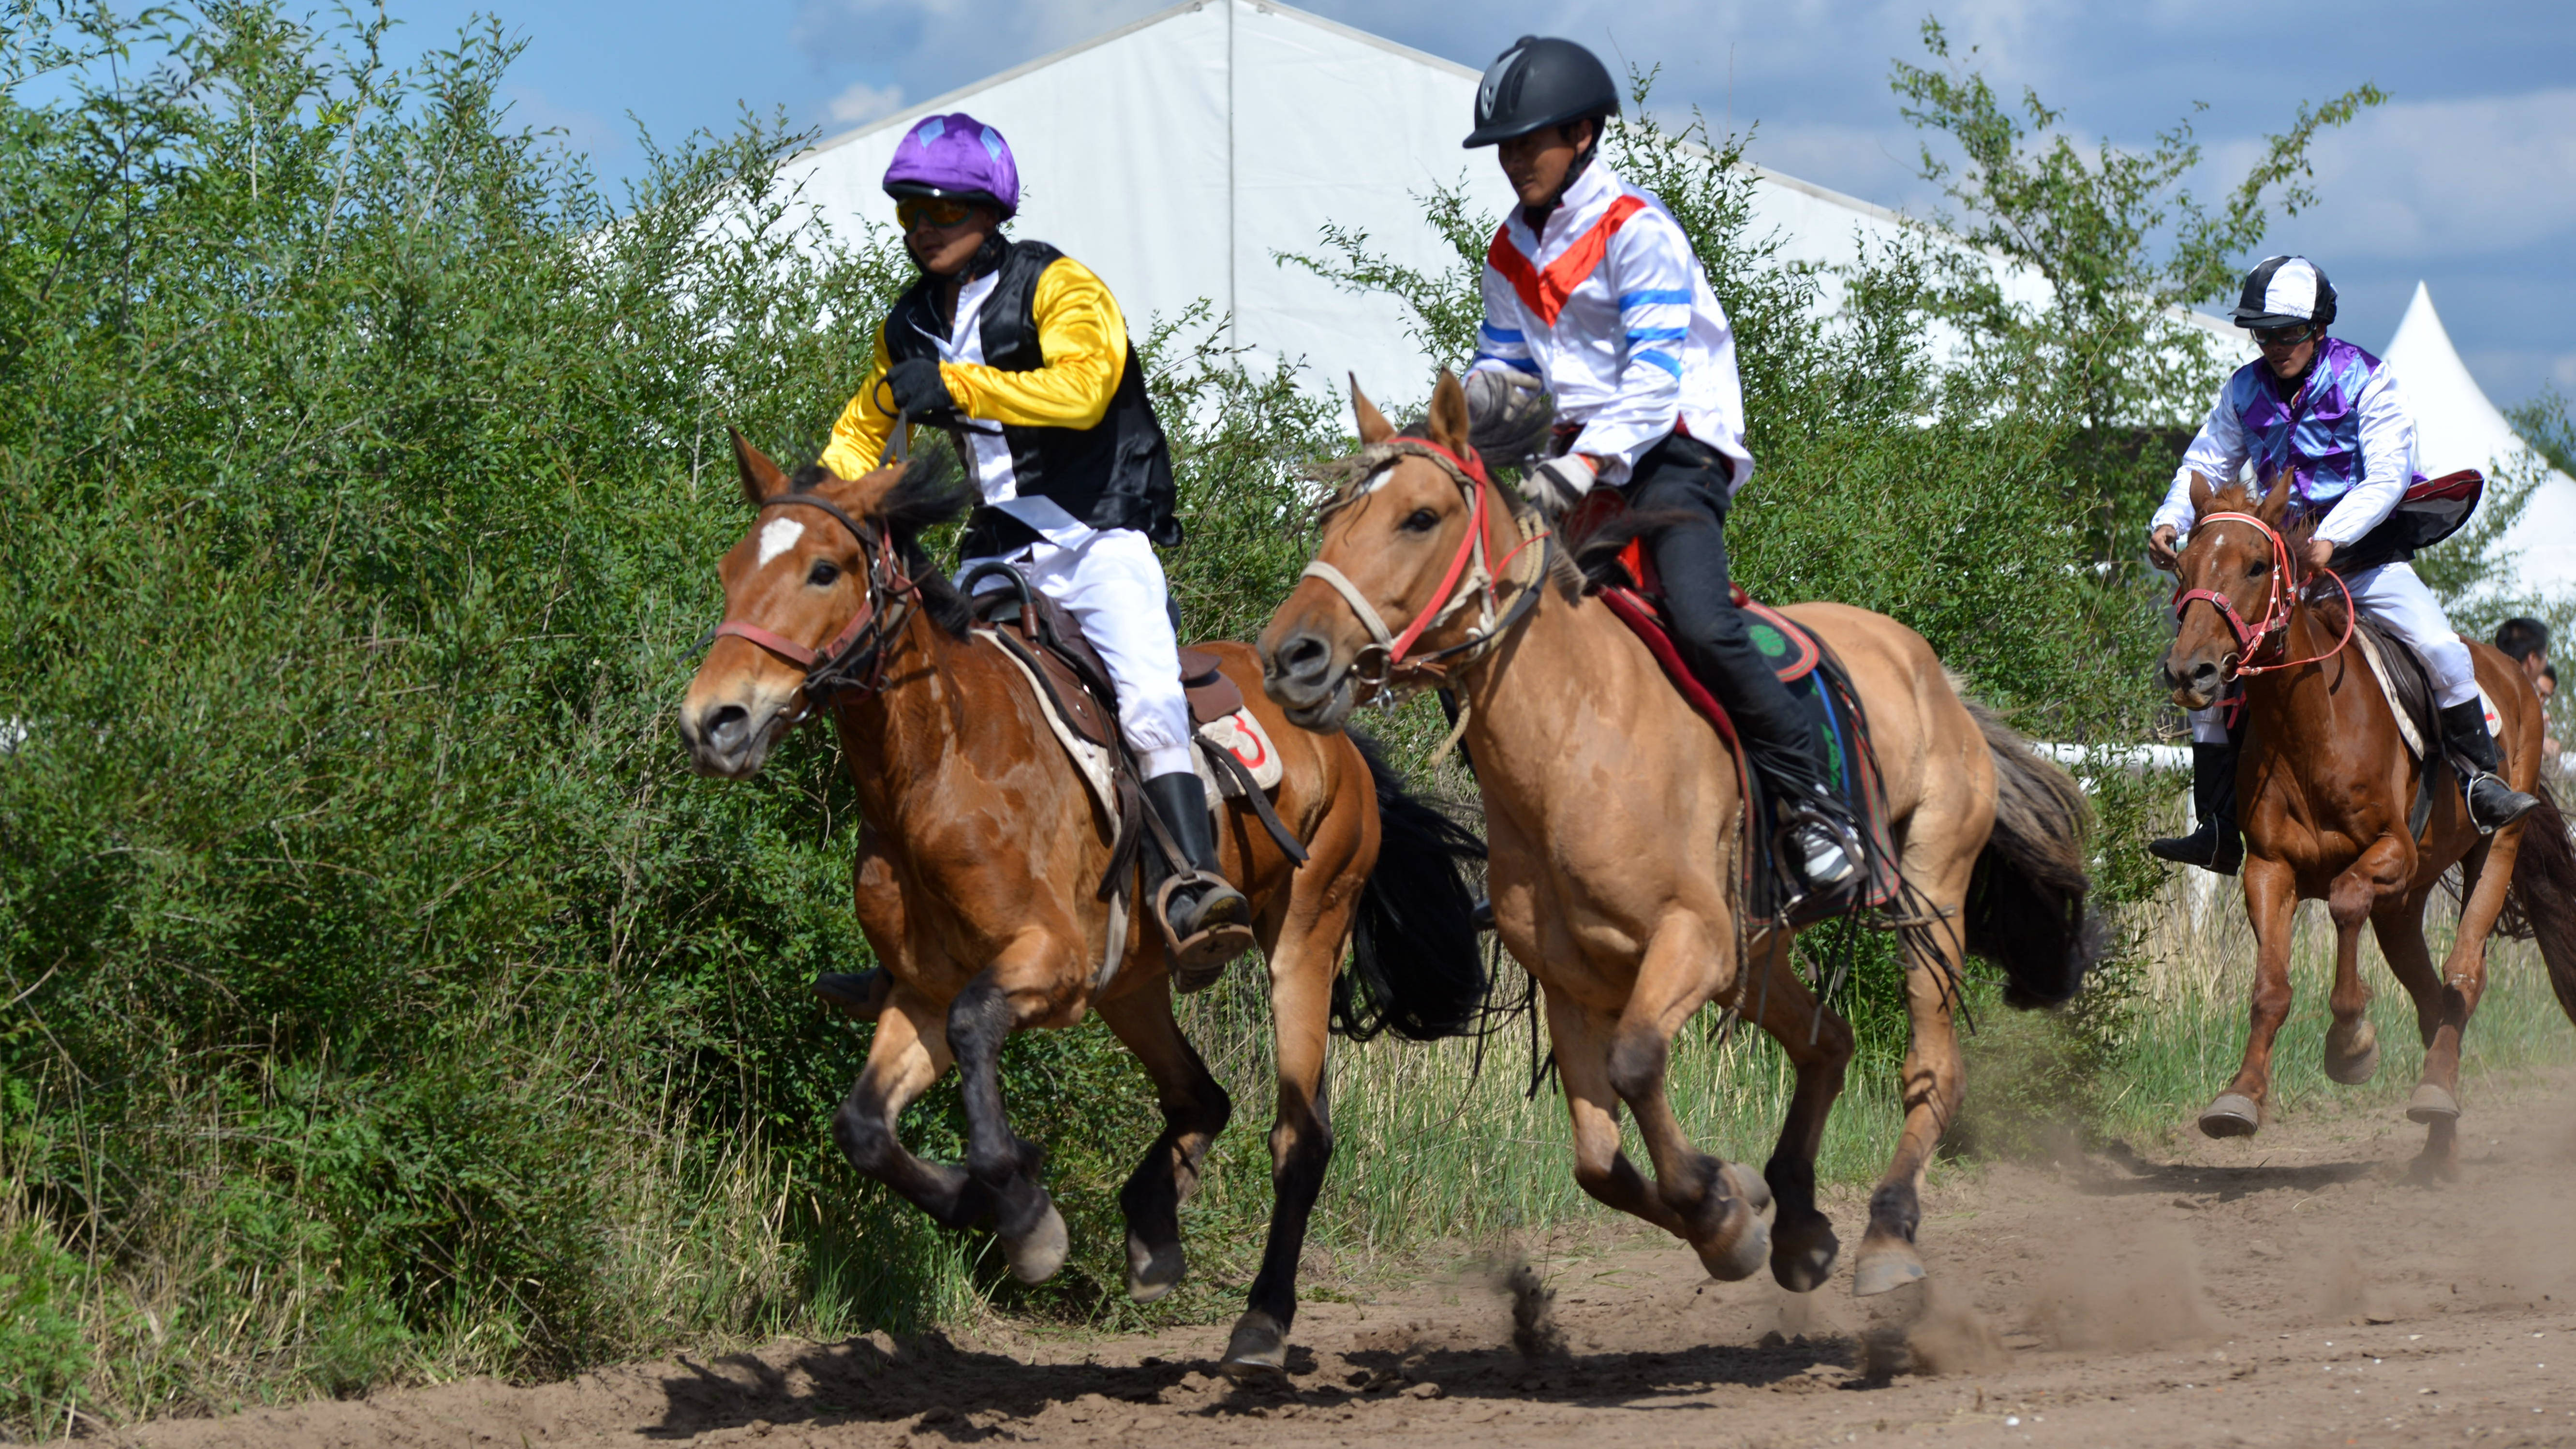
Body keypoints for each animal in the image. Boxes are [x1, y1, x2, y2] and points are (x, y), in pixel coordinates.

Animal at [680, 440, 1494, 1369]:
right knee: (1201, 1098)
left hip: (1303, 936)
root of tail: (1339, 738)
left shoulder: (1050, 967)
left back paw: (1261, 1320)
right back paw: (1152, 1230)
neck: (940, 768)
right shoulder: (922, 993)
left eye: (823, 570)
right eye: (731, 570)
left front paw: (1023, 1211)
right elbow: (864, 1126)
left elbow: (973, 1028)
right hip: (1132, 984)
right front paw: (978, 1201)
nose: (714, 720)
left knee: (1299, 1133)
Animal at [1257, 381, 2102, 1297]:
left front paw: (1720, 1209)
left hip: (1929, 893)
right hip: (1760, 946)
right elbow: (1596, 1159)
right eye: (1331, 516)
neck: (1576, 739)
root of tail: (1936, 676)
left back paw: (1888, 1231)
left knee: (1930, 1069)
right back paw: (1799, 1224)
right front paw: (1732, 1207)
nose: (1289, 656)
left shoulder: (1692, 940)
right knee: (1826, 1043)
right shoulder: (1574, 981)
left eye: (1419, 517)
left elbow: (1636, 1065)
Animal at [2153, 476, 2576, 1179]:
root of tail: (2513, 675)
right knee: (2432, 997)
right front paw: (2240, 1096)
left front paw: (2350, 1043)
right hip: (2403, 905)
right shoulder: (2270, 869)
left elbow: (2346, 898)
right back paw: (2439, 1134)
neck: (2310, 729)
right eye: (2182, 567)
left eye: (2256, 565)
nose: (2192, 671)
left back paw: (2434, 1093)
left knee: (2463, 975)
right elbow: (2270, 988)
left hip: (2491, 852)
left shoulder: (2390, 852)